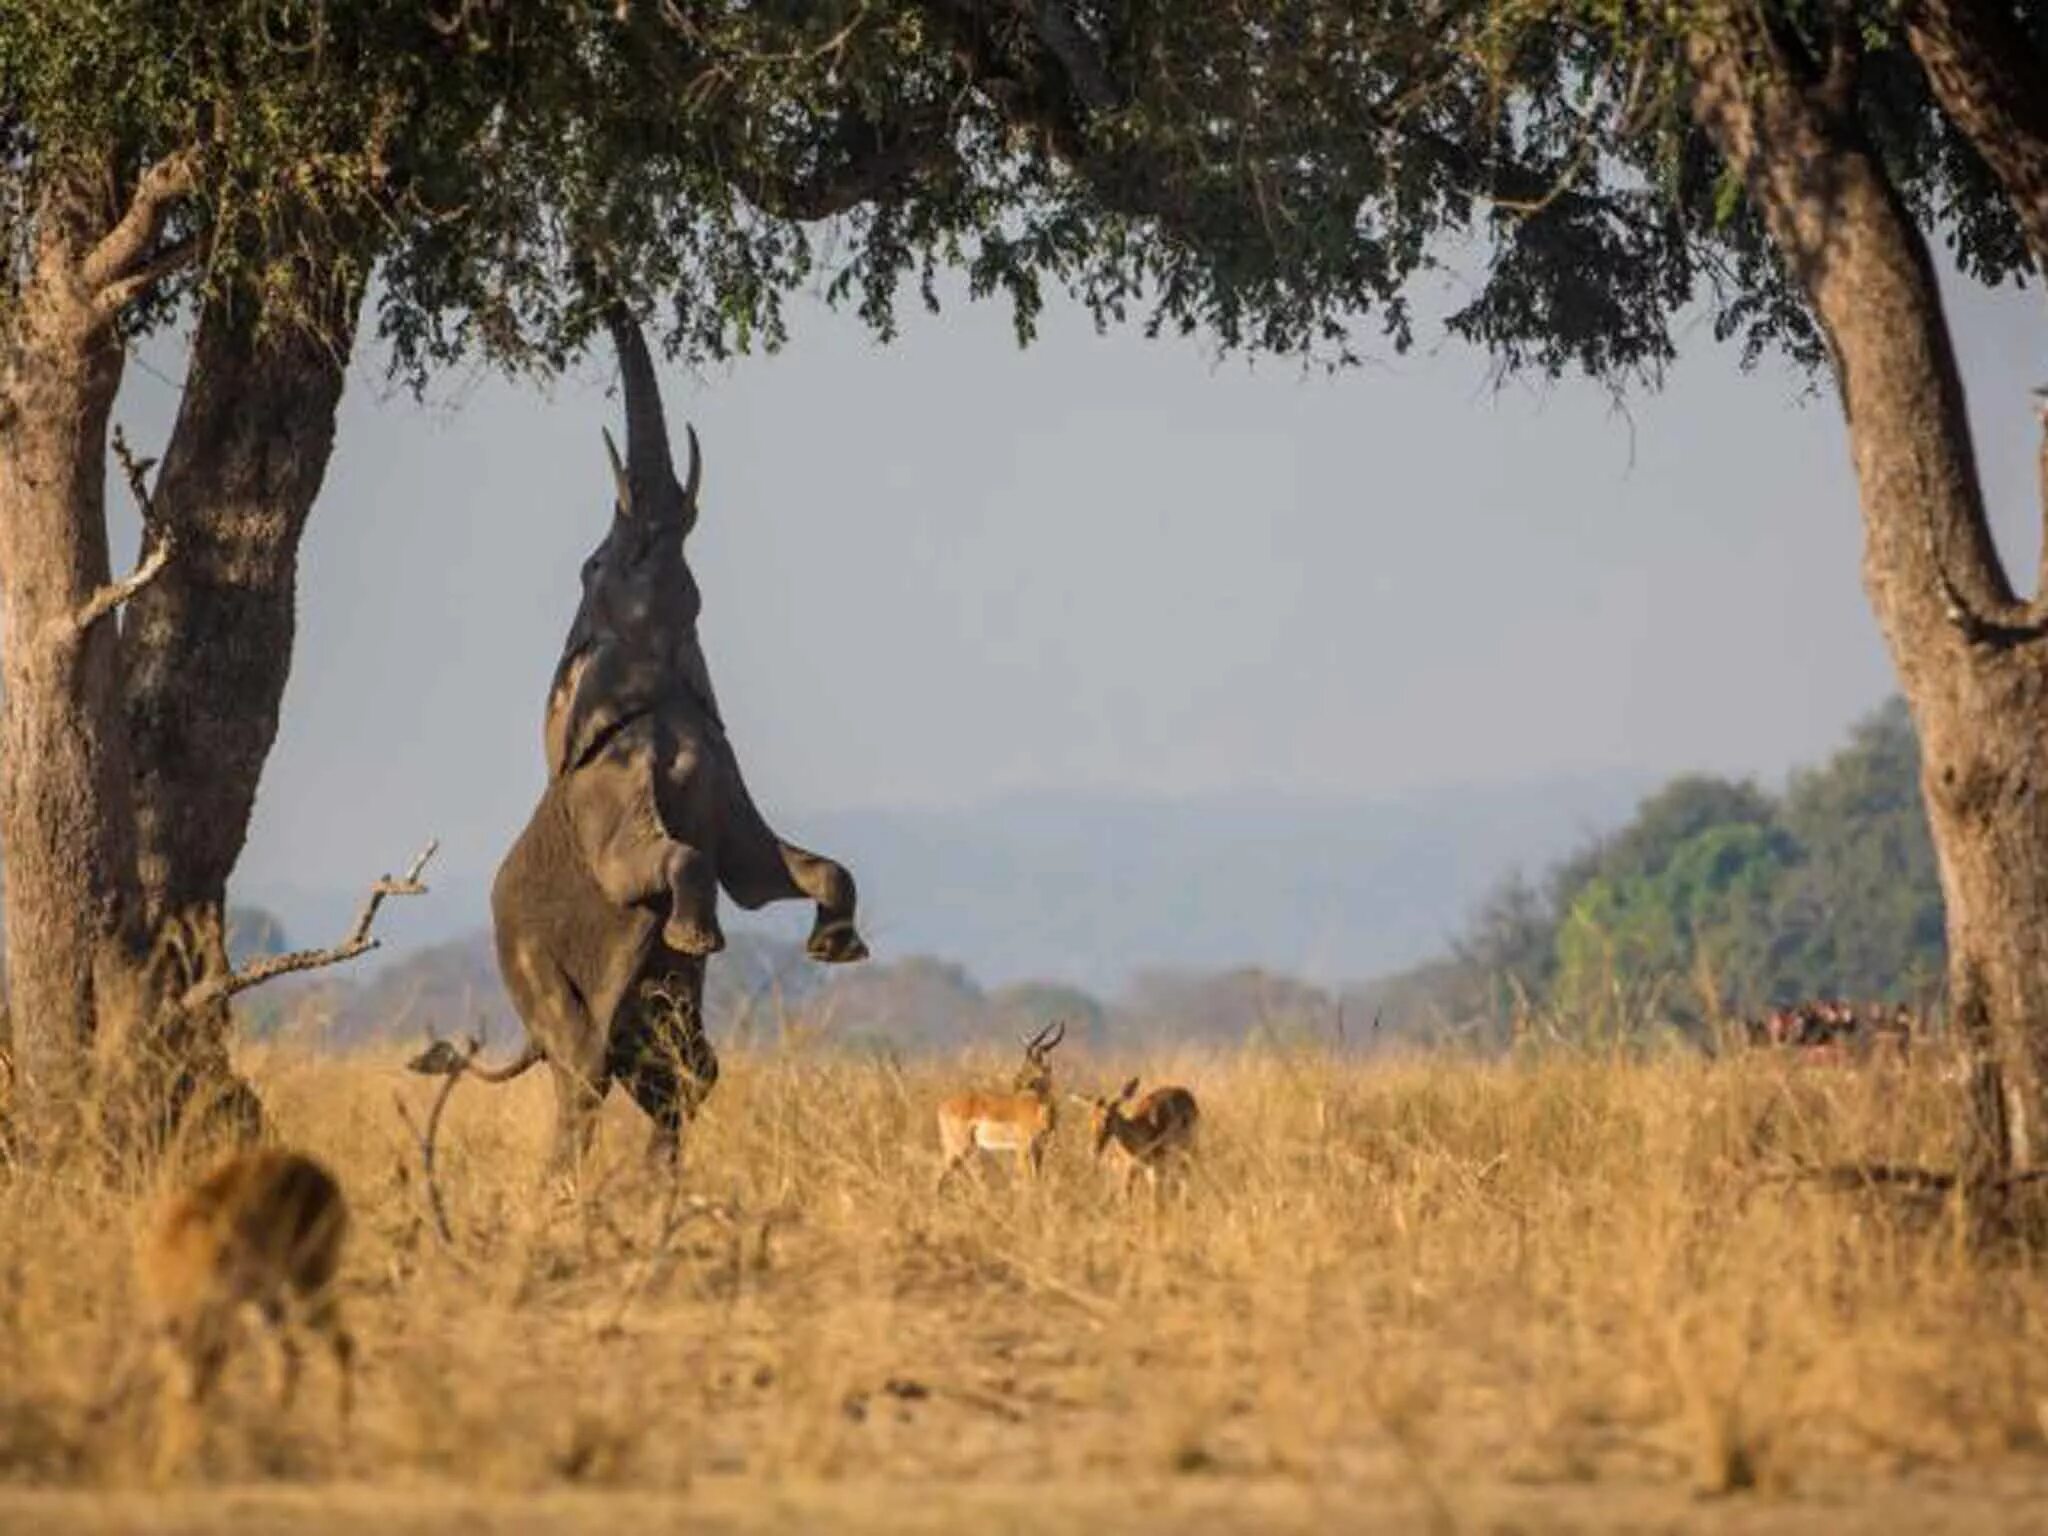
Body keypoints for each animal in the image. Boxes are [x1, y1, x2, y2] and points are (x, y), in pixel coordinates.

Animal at [136, 1155, 356, 1466]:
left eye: (207, 1358)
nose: (192, 1392)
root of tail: (317, 1168)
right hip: (266, 1303)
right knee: (290, 1358)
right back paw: (275, 1437)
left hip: (308, 1284)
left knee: (342, 1344)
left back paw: (340, 1439)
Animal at [415, 307, 864, 1187]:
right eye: (598, 563)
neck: (659, 698)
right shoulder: (604, 792)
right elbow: (658, 866)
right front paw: (698, 936)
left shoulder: (724, 766)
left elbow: (765, 867)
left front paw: (838, 948)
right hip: (535, 974)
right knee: (584, 1076)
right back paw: (571, 1195)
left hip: (661, 1028)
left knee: (688, 1079)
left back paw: (659, 1192)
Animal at [937, 1024, 1073, 1187]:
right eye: (1025, 1065)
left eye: (1035, 1068)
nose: (1016, 1083)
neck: (1039, 1111)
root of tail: (943, 1105)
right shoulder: (1022, 1150)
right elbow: (1027, 1182)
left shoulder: (1039, 1150)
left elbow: (1036, 1180)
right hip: (961, 1146)